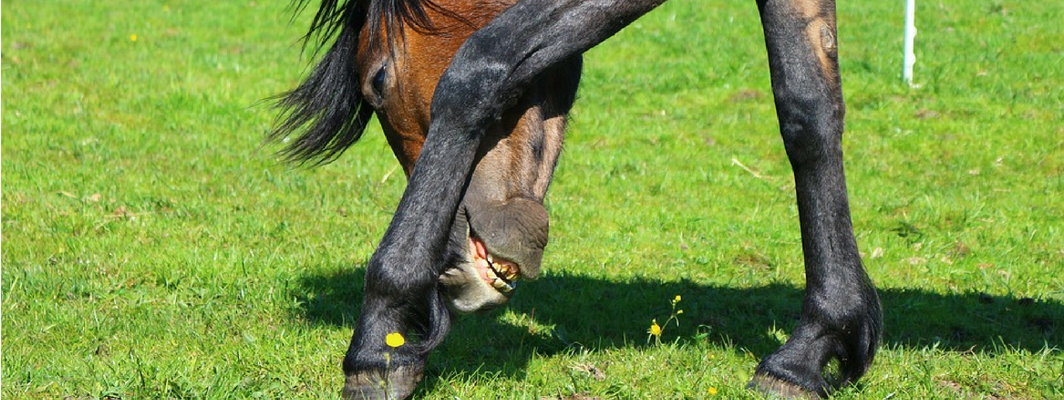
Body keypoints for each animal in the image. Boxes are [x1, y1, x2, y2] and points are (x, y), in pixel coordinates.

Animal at [272, 0, 880, 400]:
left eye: (378, 81)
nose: (451, 269)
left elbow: (478, 66)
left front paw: (380, 342)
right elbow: (808, 112)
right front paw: (814, 347)